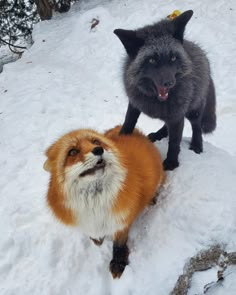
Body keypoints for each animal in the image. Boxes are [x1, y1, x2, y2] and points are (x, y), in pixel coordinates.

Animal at [44, 126, 166, 278]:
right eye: (72, 152)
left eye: (96, 141)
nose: (98, 150)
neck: (95, 203)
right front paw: (97, 239)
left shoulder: (121, 219)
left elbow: (119, 244)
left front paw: (118, 262)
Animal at [114, 10, 216, 171]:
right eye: (152, 60)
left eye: (173, 58)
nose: (169, 83)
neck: (155, 102)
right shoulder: (134, 103)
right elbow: (128, 121)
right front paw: (121, 139)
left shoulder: (177, 115)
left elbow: (174, 142)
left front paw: (171, 162)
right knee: (167, 125)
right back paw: (158, 134)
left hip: (193, 109)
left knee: (196, 125)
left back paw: (196, 145)